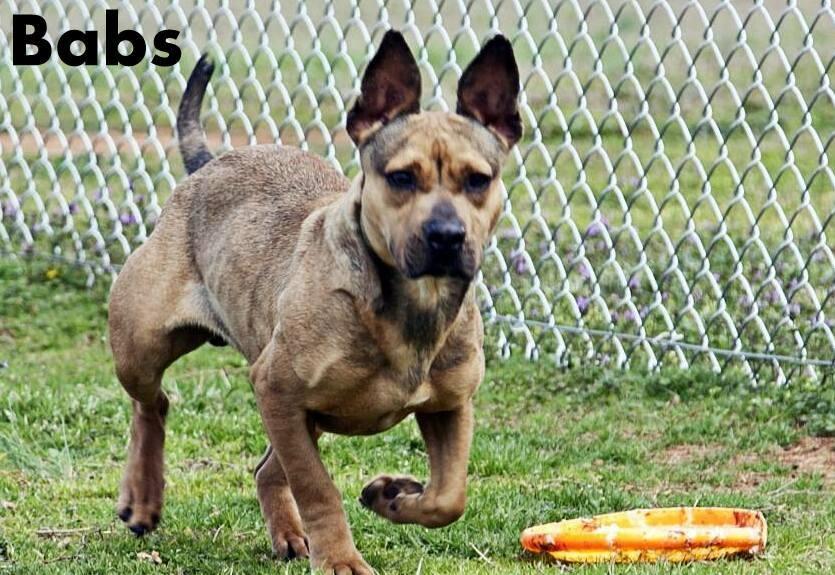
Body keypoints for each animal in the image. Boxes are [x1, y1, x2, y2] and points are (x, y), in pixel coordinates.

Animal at [108, 32, 520, 575]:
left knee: (263, 466)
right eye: (401, 178)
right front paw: (341, 560)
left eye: (478, 179)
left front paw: (392, 496)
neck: (407, 305)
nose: (446, 236)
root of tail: (209, 164)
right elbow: (317, 487)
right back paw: (143, 495)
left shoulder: (450, 406)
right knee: (151, 403)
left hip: (303, 416)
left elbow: (448, 497)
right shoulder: (276, 388)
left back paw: (286, 532)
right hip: (143, 344)